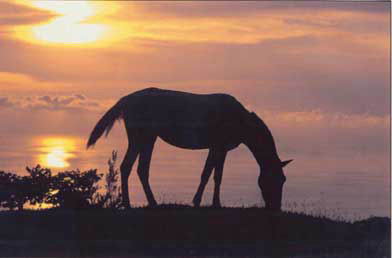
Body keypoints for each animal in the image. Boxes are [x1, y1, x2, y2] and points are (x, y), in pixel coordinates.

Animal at [87, 87, 292, 211]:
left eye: (284, 180)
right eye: (277, 179)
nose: (276, 208)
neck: (240, 120)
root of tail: (126, 100)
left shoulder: (218, 148)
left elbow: (213, 174)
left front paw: (209, 202)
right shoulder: (218, 146)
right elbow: (211, 174)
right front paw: (206, 203)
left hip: (148, 138)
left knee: (138, 169)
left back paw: (149, 203)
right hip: (141, 137)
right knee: (129, 167)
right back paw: (131, 204)